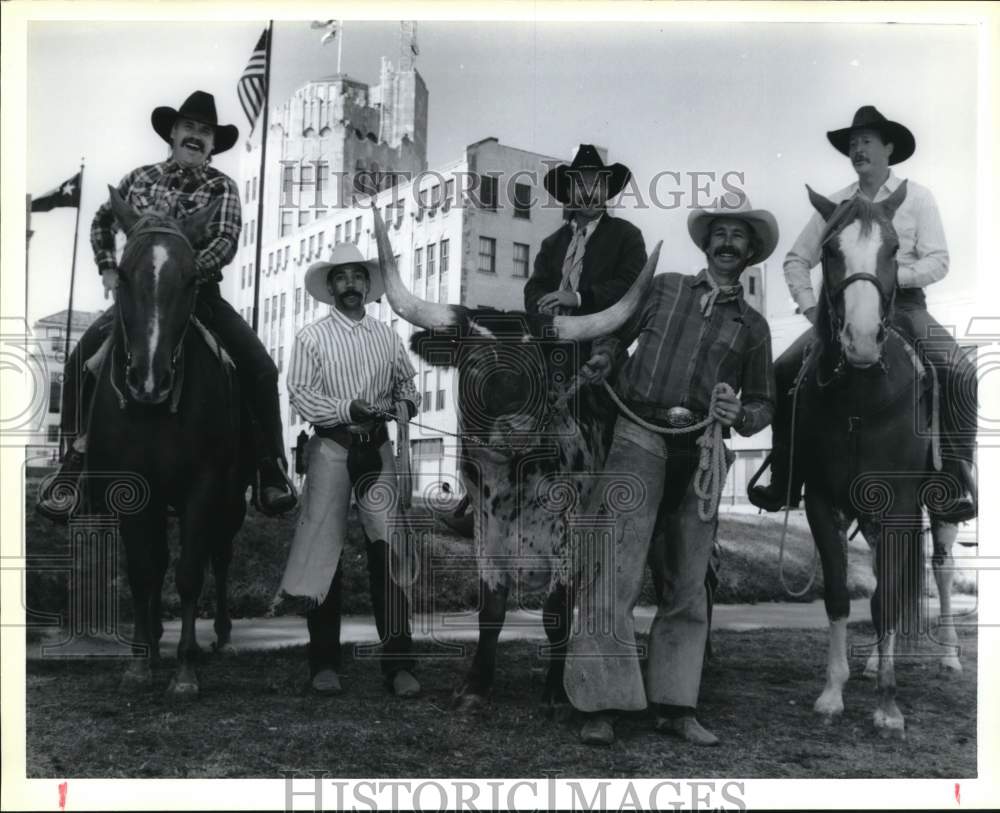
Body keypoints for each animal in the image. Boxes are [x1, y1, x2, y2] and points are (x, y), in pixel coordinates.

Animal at [84, 186, 252, 696]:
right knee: (157, 563)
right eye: (122, 276)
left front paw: (184, 671)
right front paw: (140, 663)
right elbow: (144, 569)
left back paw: (219, 638)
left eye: (192, 280)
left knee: (220, 556)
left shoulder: (204, 487)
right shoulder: (131, 488)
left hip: (231, 501)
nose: (148, 381)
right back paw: (154, 638)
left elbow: (190, 571)